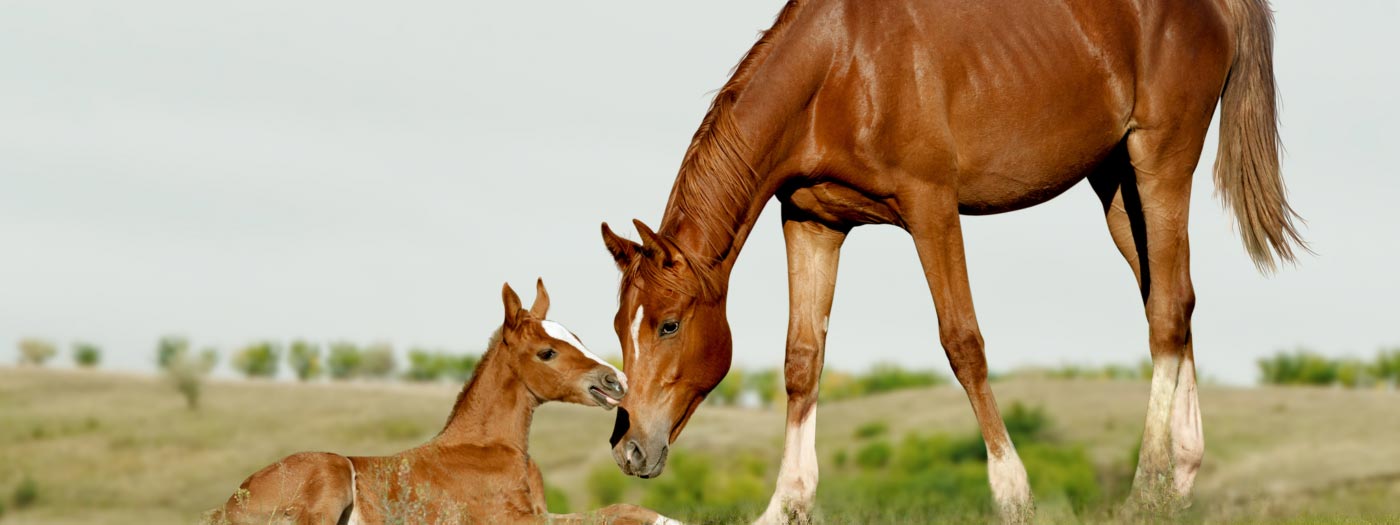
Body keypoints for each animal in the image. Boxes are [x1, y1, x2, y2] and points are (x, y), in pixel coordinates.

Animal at [209, 280, 676, 525]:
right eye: (547, 352)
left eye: (575, 336)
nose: (615, 380)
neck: (488, 449)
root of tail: (227, 507)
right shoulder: (515, 521)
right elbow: (612, 512)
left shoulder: (539, 513)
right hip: (330, 474)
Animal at [597, 0, 1303, 522]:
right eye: (619, 328)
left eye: (668, 325)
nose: (629, 449)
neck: (840, 70)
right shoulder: (813, 222)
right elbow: (803, 360)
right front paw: (785, 504)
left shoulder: (931, 206)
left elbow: (963, 342)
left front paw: (1014, 493)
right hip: (1115, 183)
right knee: (1174, 303)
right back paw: (1179, 481)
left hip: (1160, 161)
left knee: (1166, 311)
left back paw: (1146, 485)